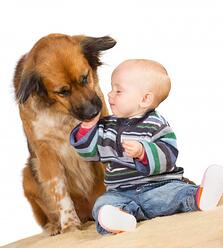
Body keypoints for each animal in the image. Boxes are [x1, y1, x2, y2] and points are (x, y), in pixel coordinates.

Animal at [13, 33, 116, 234]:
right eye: (62, 92)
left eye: (84, 78)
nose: (92, 113)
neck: (64, 116)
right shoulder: (46, 152)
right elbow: (59, 191)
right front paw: (69, 224)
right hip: (28, 174)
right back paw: (54, 226)